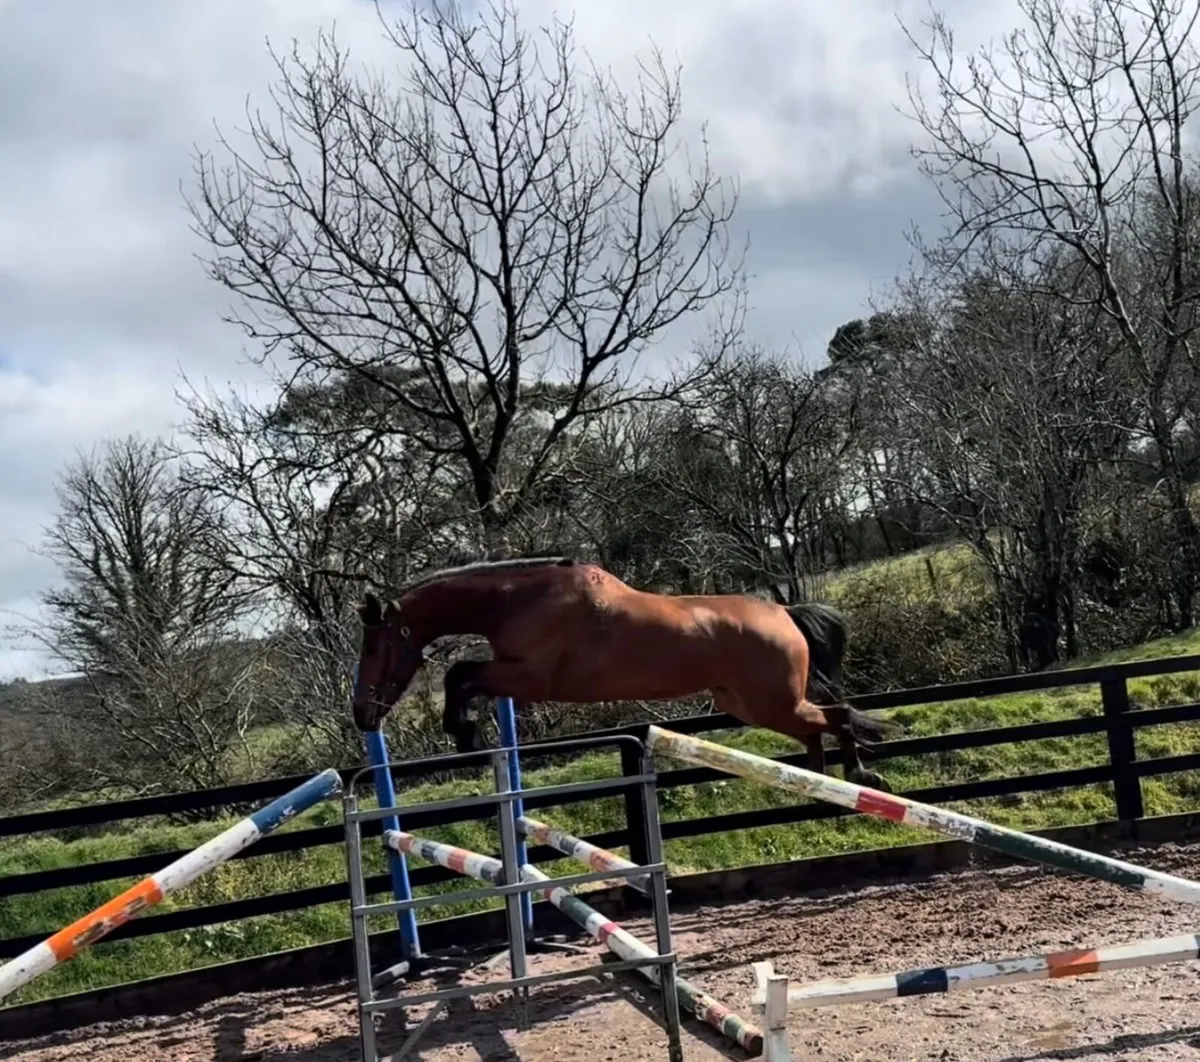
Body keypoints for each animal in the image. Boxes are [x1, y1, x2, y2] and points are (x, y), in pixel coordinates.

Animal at [350, 556, 899, 790]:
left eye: (374, 644)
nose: (362, 715)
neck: (517, 601)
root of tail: (785, 614)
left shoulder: (530, 680)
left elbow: (458, 674)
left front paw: (464, 734)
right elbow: (461, 676)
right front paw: (468, 735)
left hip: (770, 702)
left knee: (837, 716)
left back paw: (859, 776)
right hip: (747, 704)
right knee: (820, 724)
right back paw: (818, 779)